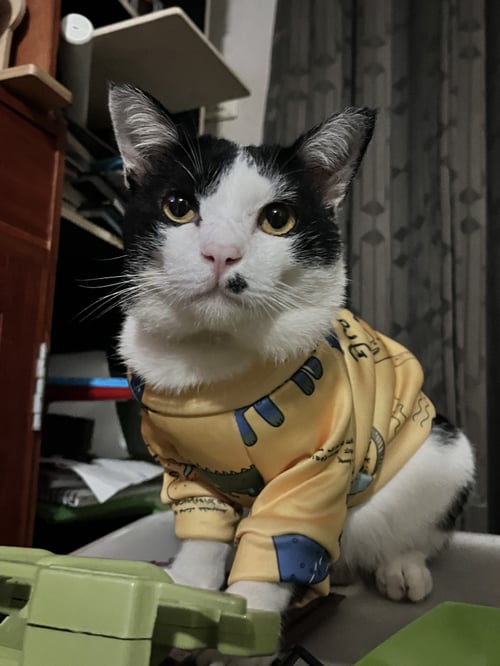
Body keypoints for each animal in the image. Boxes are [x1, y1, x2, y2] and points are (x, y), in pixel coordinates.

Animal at [108, 83, 475, 665]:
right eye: (178, 207)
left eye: (277, 218)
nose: (221, 253)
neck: (212, 363)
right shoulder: (186, 468)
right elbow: (202, 530)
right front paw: (187, 600)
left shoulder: (318, 467)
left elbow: (278, 543)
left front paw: (243, 638)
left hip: (445, 453)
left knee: (418, 532)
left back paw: (401, 569)